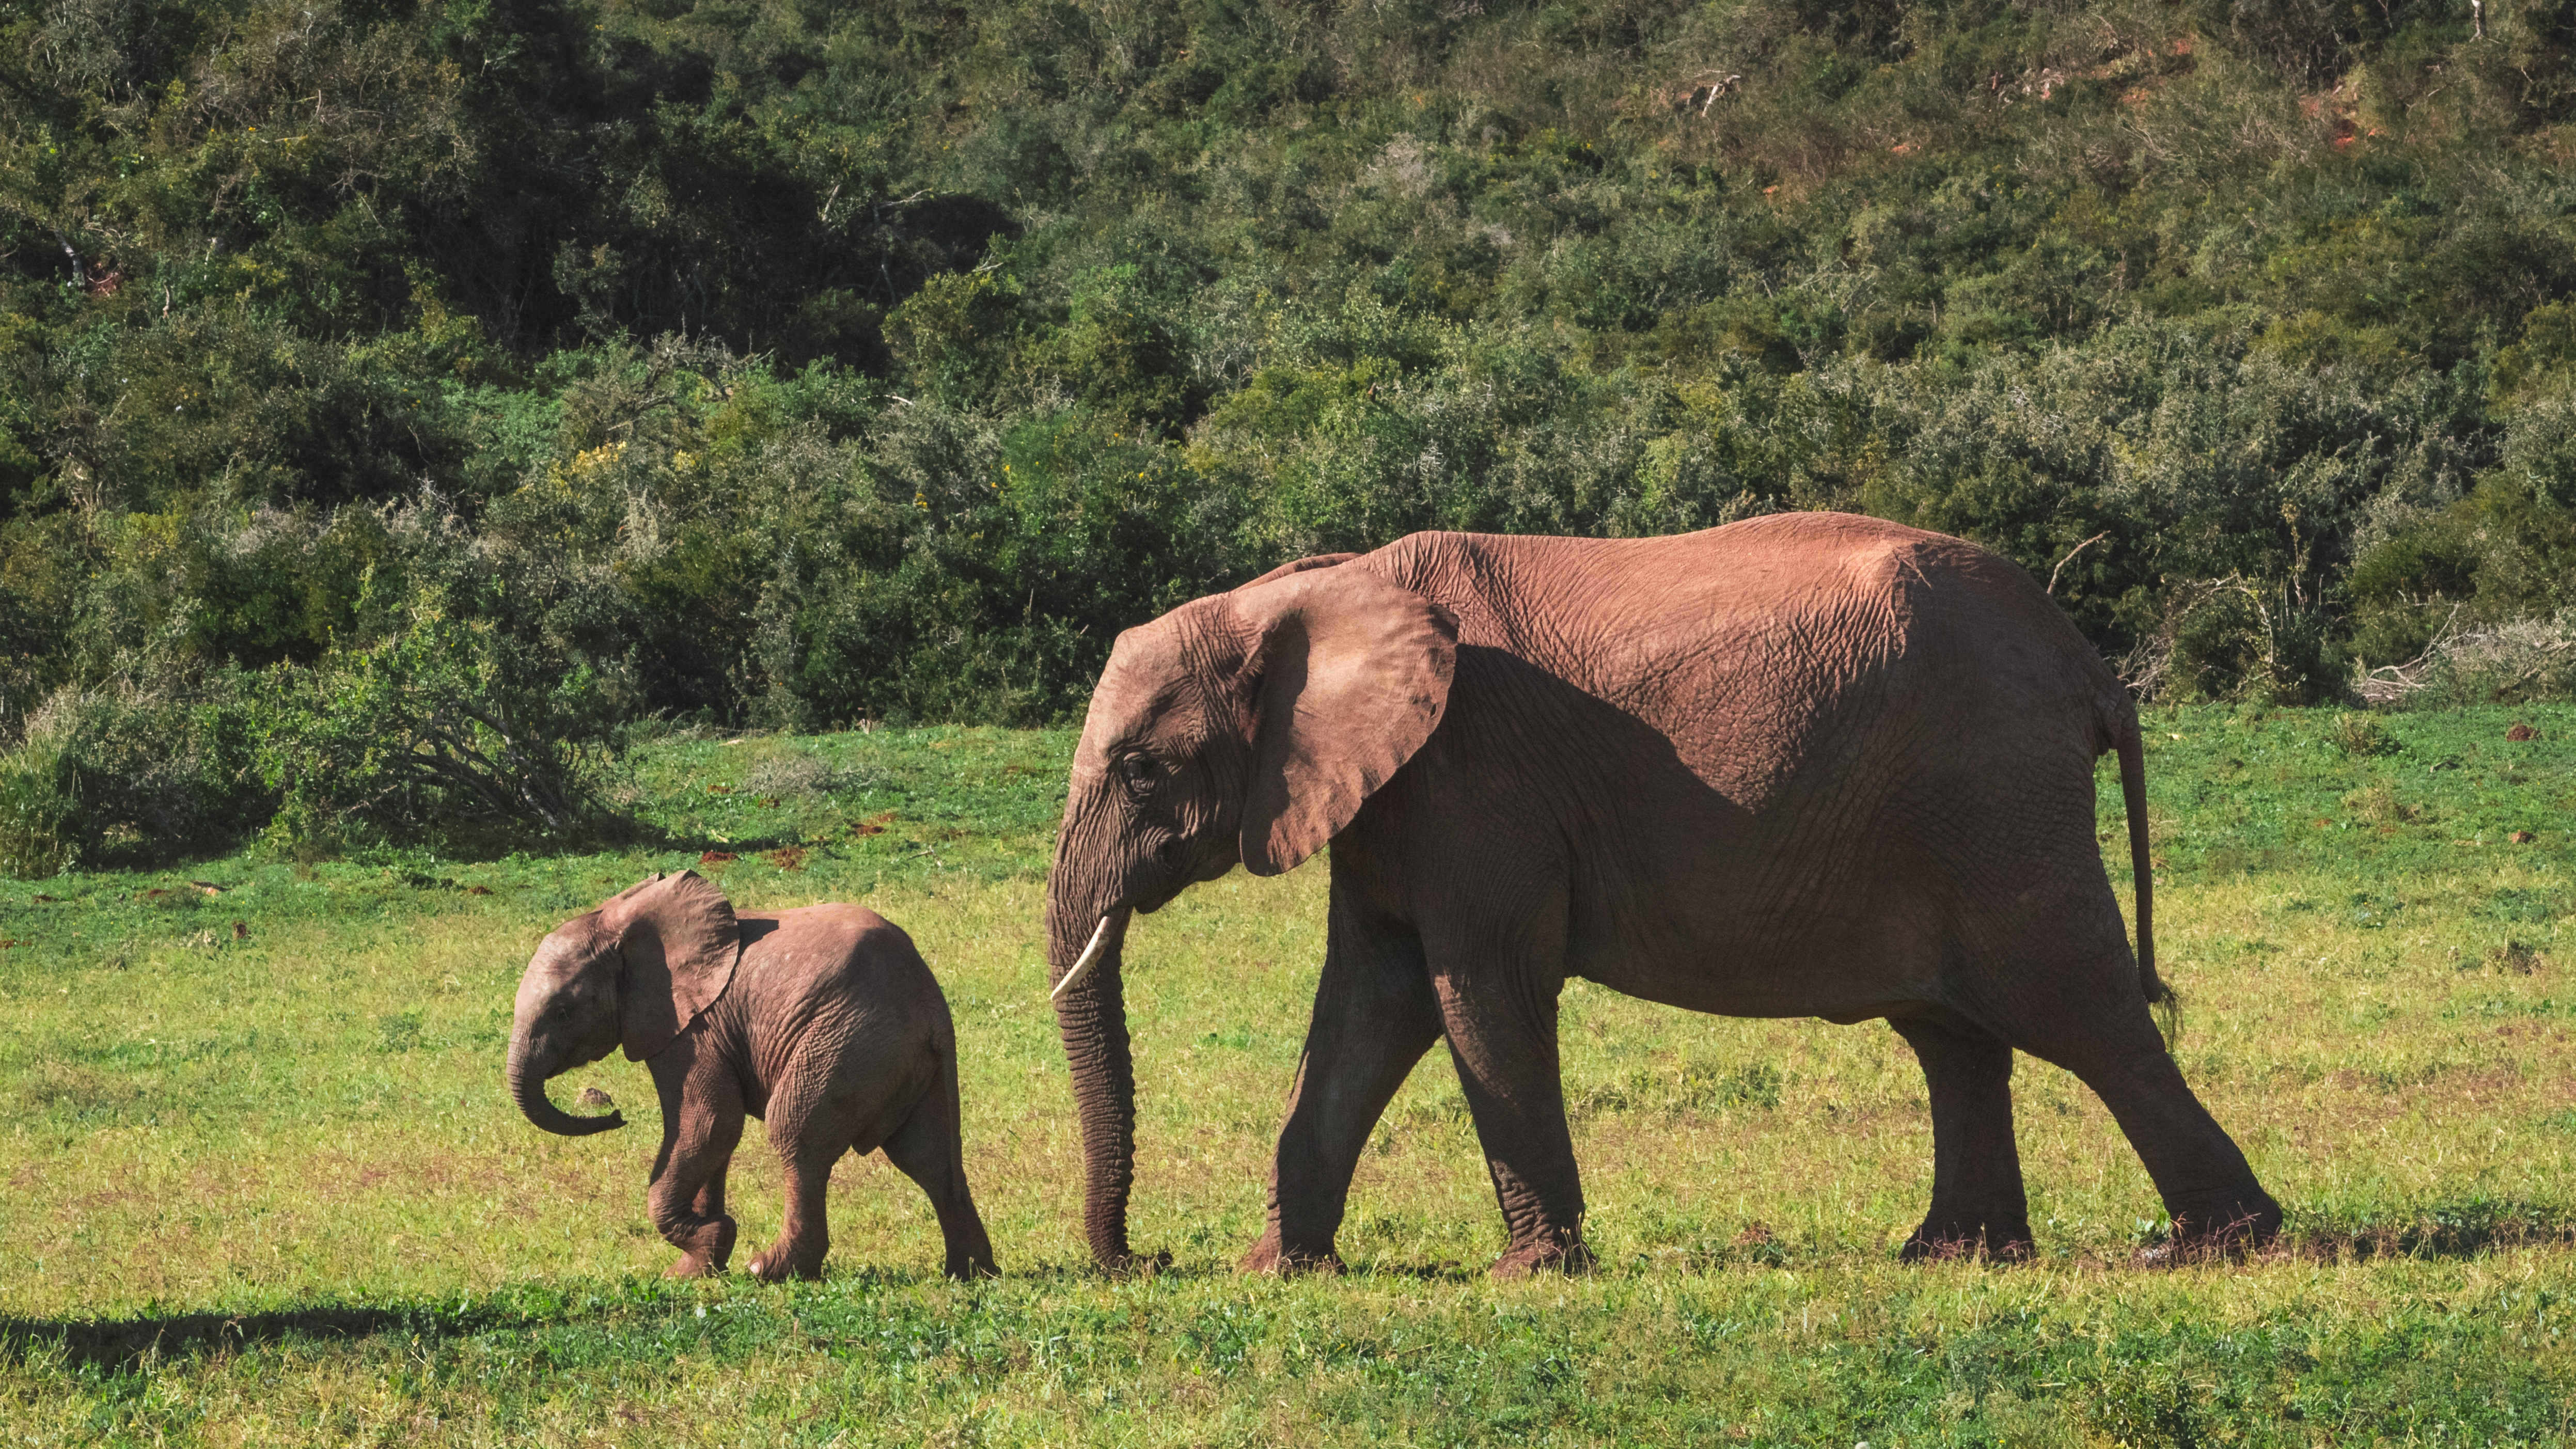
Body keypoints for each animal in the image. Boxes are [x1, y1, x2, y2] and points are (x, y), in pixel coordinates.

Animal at [507, 870, 997, 1281]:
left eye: (562, 1012)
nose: (616, 1115)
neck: (621, 918)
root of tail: (929, 1006)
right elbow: (711, 1141)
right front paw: (694, 1270)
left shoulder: (693, 1029)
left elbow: (708, 1124)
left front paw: (709, 1244)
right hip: (904, 1060)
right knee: (927, 1156)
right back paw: (970, 1275)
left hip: (849, 1042)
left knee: (797, 1134)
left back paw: (770, 1270)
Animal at [1042, 511, 2281, 1277]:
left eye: (1141, 771)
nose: (1145, 1256)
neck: (1307, 591)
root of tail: (2090, 668)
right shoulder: (1392, 799)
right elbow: (1365, 1004)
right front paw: (1278, 1270)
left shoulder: (1473, 778)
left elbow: (1476, 987)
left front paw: (1533, 1273)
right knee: (1954, 1034)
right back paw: (1950, 1253)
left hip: (1995, 797)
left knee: (2081, 1010)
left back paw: (2214, 1246)